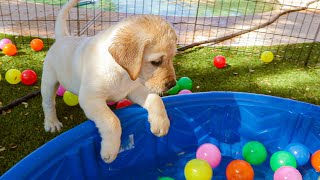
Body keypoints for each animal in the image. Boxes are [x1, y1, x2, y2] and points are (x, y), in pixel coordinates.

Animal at [41, 0, 176, 163]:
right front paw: (110, 150)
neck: (121, 72)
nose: (172, 84)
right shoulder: (90, 99)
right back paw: (51, 123)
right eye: (156, 62)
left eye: (173, 57)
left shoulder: (133, 89)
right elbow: (112, 120)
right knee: (48, 103)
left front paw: (161, 123)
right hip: (49, 80)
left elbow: (155, 98)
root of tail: (63, 37)